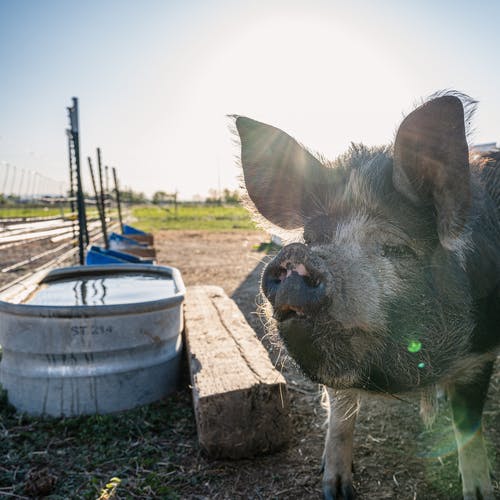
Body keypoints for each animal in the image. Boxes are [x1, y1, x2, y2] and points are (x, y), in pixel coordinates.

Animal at [233, 92, 500, 498]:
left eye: (396, 247)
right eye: (313, 238)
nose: (297, 256)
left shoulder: (480, 354)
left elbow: (469, 429)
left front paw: (481, 493)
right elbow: (341, 413)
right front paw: (335, 489)